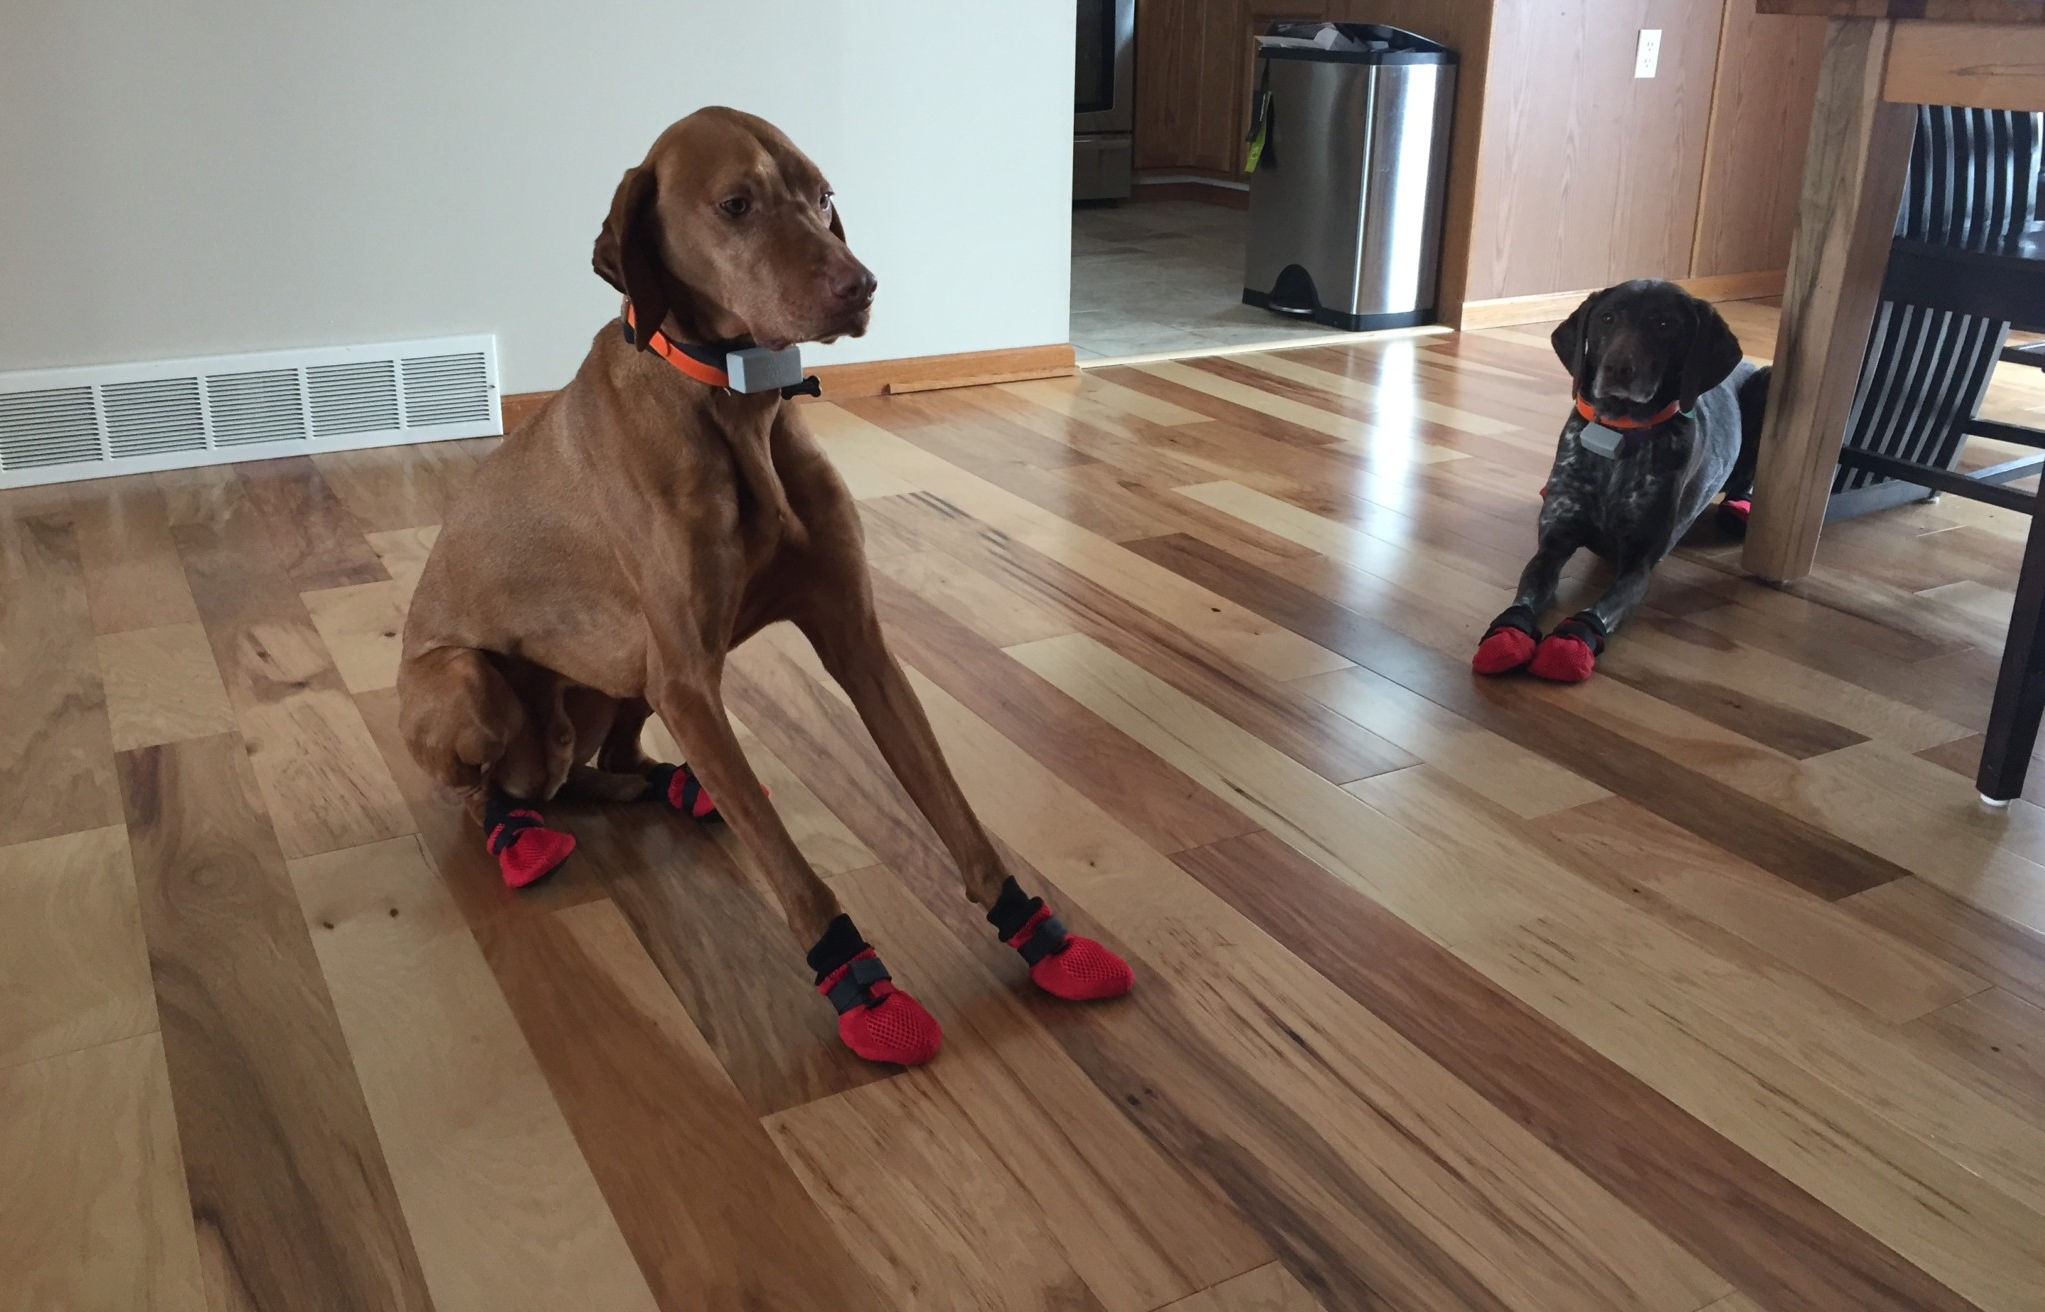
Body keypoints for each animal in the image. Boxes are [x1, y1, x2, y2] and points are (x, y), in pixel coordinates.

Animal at [398, 107, 1137, 1054]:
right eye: (735, 204)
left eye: (822, 196)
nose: (862, 287)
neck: (737, 406)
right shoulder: (687, 676)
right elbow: (789, 865)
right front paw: (859, 987)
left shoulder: (855, 642)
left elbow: (952, 809)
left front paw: (1041, 937)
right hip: (473, 685)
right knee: (483, 792)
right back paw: (518, 832)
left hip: (620, 682)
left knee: (607, 759)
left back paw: (665, 784)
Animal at [1472, 279, 1775, 678]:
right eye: (1607, 318)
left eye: (1664, 324)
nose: (1618, 367)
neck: (1617, 432)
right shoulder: (1554, 541)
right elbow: (1527, 591)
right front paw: (1508, 632)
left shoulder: (1638, 564)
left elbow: (1599, 609)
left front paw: (1571, 643)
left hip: (1768, 383)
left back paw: (1741, 505)